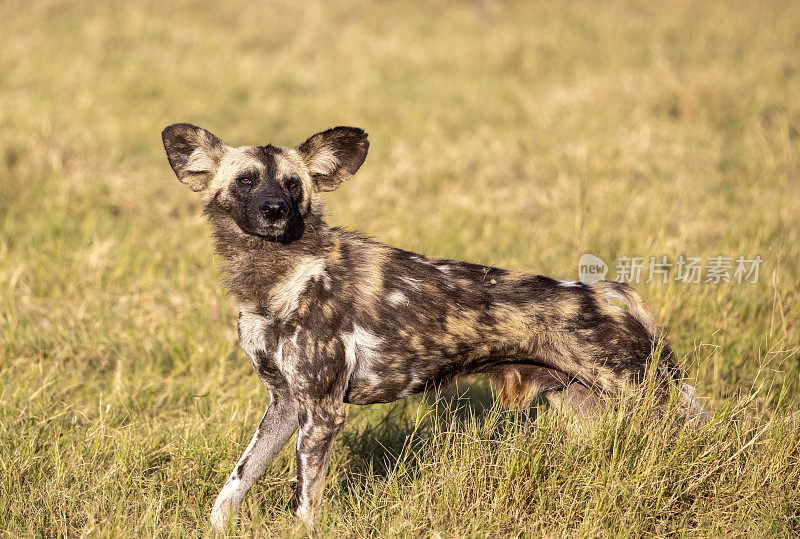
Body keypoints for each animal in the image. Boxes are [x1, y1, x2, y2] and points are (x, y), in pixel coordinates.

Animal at [162, 123, 708, 532]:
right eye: (246, 181)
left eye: (293, 185)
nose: (275, 211)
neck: (276, 276)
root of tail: (608, 293)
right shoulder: (285, 404)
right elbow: (235, 484)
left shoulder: (322, 412)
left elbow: (304, 504)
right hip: (587, 413)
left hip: (650, 401)